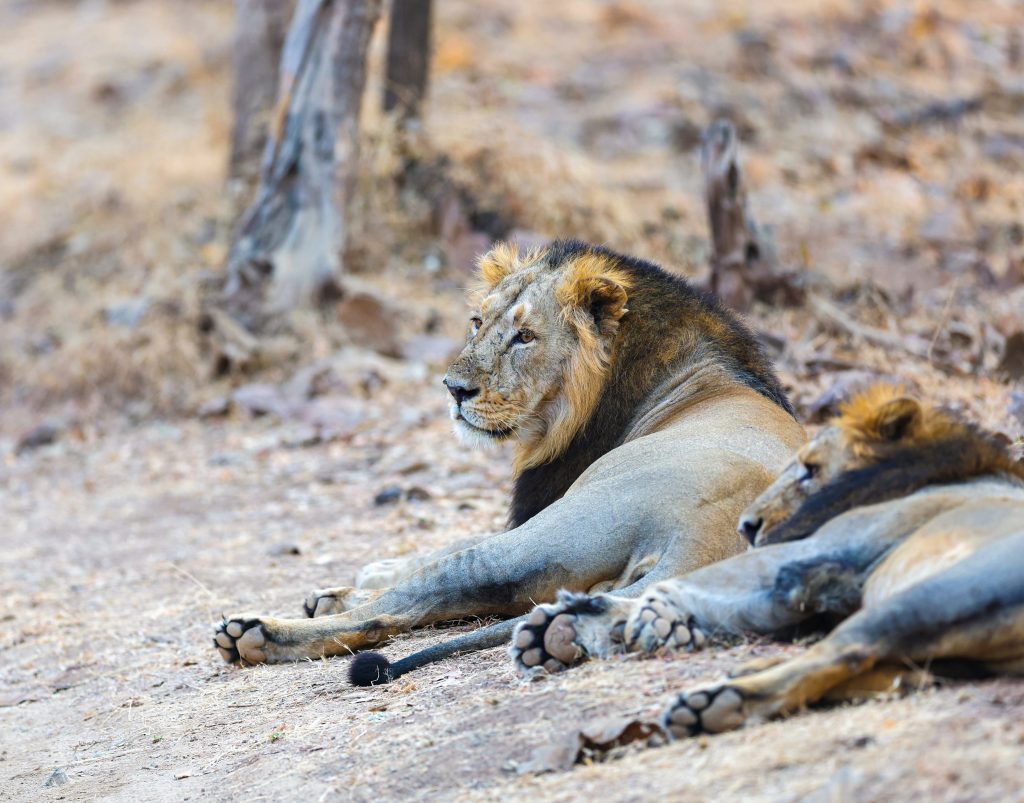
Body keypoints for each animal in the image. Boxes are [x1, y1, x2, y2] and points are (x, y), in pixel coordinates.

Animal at [211, 238, 802, 671]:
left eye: (525, 336)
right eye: (478, 322)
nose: (453, 389)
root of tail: (705, 536)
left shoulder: (536, 507)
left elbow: (442, 547)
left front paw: (357, 578)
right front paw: (343, 585)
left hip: (549, 534)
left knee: (402, 606)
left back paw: (255, 634)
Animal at [512, 385, 1024, 737]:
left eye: (810, 469)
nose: (747, 526)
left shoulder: (815, 552)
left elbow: (696, 583)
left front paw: (581, 622)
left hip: (928, 597)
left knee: (845, 652)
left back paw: (716, 702)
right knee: (883, 672)